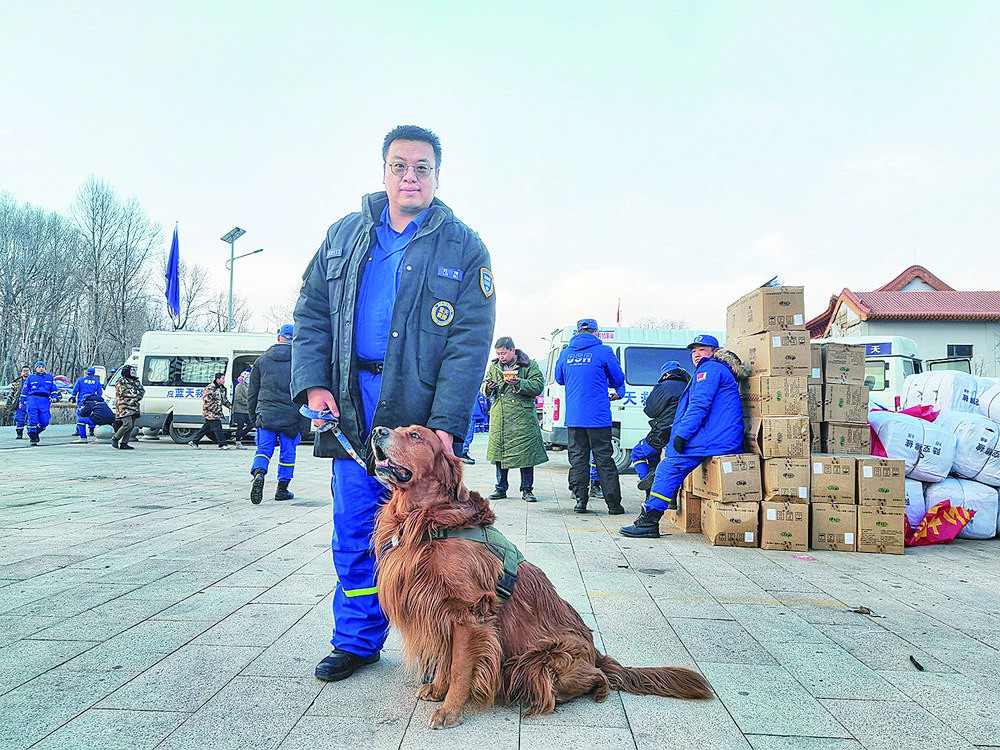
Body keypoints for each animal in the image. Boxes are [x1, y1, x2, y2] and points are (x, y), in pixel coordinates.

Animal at [371, 424, 713, 729]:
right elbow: (445, 659)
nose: (376, 430)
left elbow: (459, 668)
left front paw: (449, 711)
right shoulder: (439, 610)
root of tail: (596, 655)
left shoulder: (469, 615)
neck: (432, 521)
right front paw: (437, 690)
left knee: (597, 676)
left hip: (540, 660)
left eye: (415, 435)